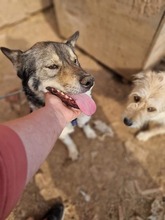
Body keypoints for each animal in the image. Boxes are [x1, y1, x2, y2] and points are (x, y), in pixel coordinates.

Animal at [0, 31, 96, 160]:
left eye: (74, 60)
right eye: (52, 66)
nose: (90, 81)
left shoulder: (85, 118)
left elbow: (86, 124)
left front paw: (90, 133)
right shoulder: (61, 133)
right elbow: (68, 141)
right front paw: (73, 151)